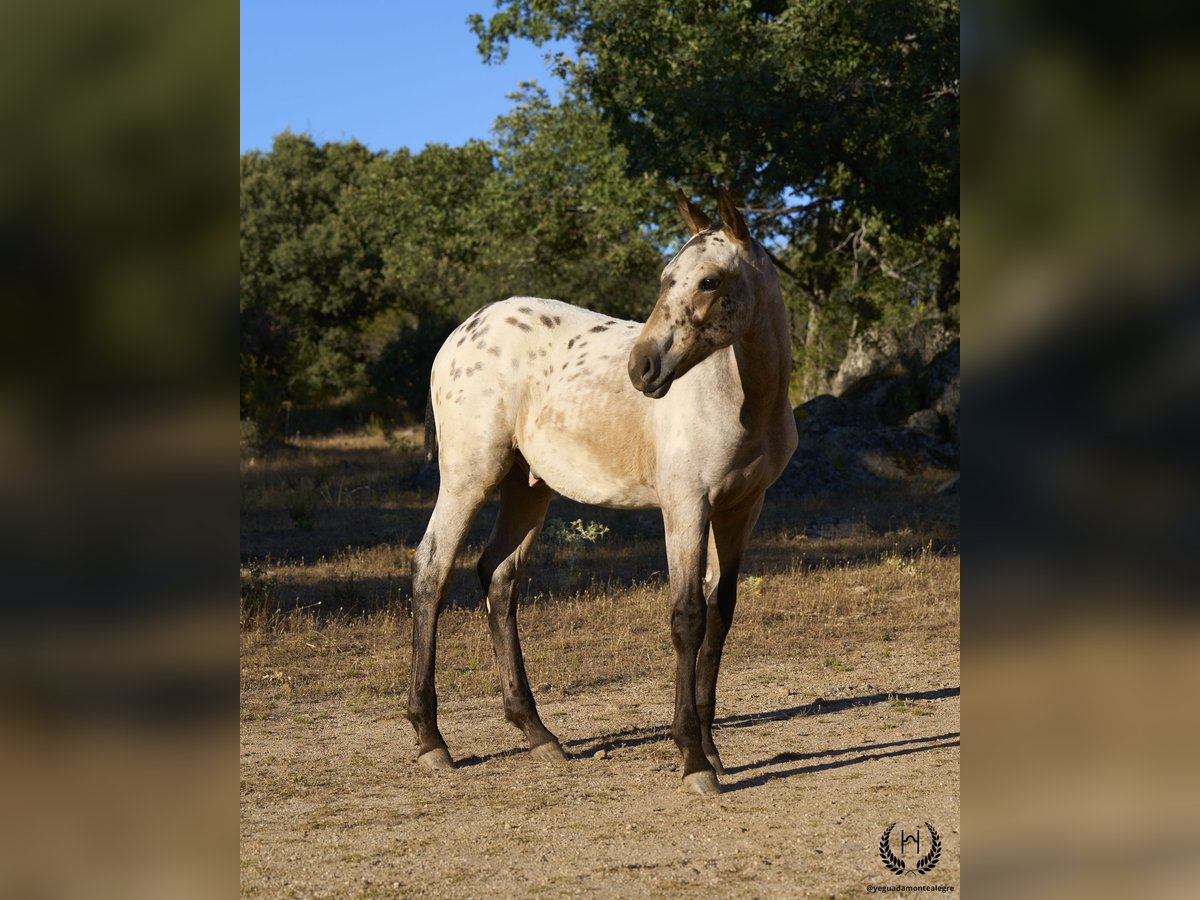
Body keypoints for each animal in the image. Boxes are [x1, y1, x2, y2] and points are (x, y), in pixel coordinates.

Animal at [405, 187, 796, 792]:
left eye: (709, 280)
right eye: (665, 277)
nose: (643, 368)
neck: (742, 398)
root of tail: (461, 333)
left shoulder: (741, 509)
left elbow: (720, 614)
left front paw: (712, 750)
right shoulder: (686, 505)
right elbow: (687, 617)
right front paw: (692, 759)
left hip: (527, 487)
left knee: (499, 577)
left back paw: (537, 732)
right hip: (470, 475)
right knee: (432, 570)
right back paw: (431, 740)